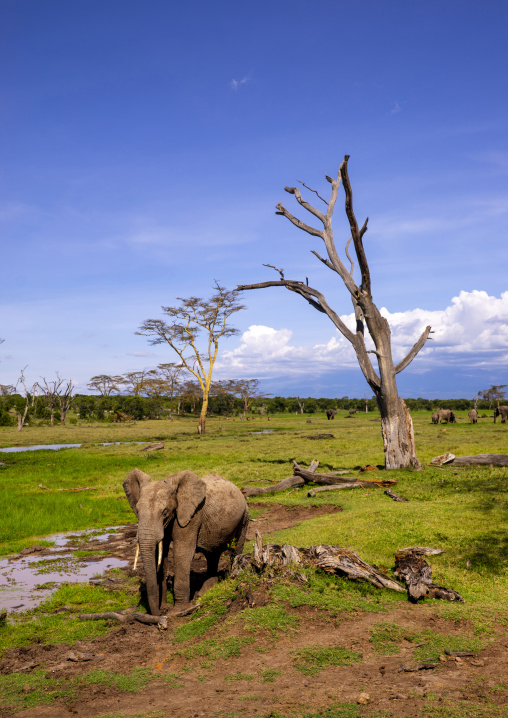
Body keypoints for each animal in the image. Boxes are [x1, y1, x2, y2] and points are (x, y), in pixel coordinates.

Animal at [123, 468, 249, 616]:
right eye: (137, 511)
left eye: (164, 512)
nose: (159, 613)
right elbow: (161, 556)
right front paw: (164, 607)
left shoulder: (191, 517)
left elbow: (182, 552)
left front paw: (178, 611)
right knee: (212, 554)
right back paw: (204, 591)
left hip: (244, 517)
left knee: (236, 547)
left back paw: (230, 578)